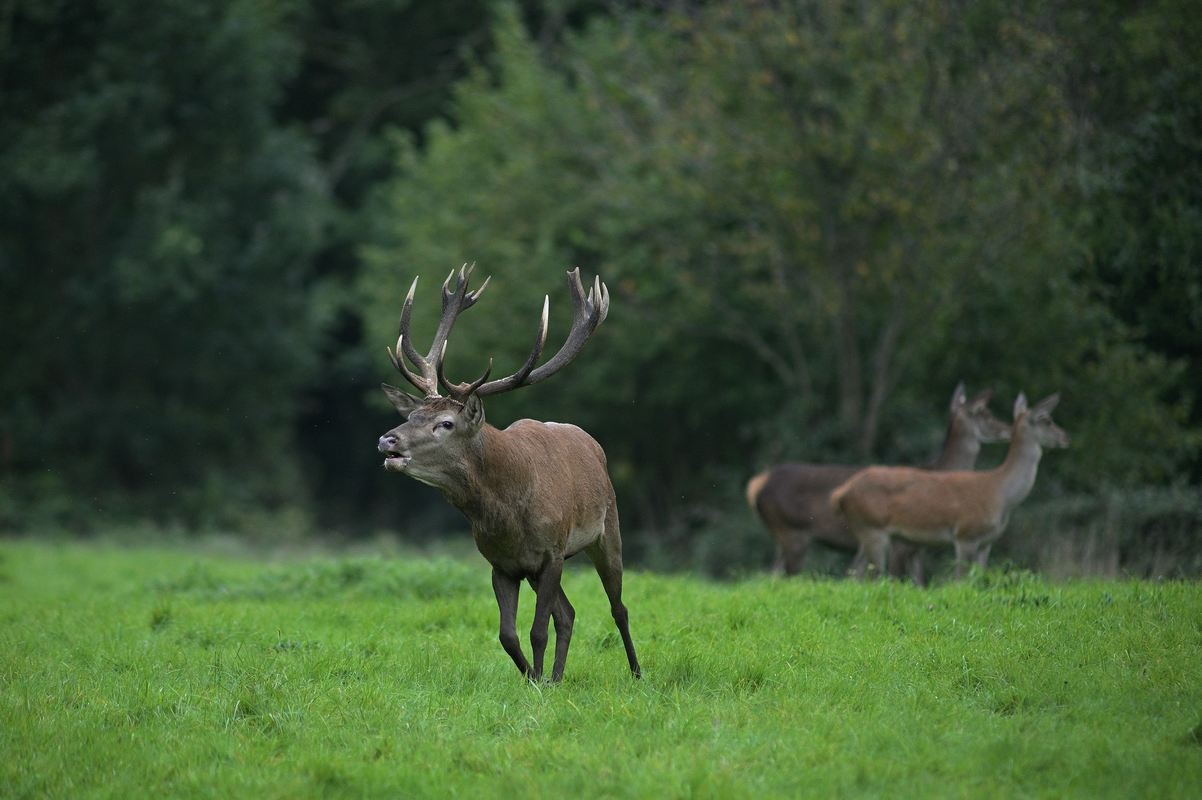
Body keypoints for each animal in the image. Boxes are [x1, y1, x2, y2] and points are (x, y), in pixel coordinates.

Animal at [375, 261, 639, 677]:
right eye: (413, 415)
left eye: (446, 423)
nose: (388, 441)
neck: (508, 514)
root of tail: (593, 445)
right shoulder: (503, 564)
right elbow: (508, 635)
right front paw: (534, 677)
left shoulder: (551, 553)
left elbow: (537, 631)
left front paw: (538, 680)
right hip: (544, 567)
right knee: (568, 614)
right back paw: (558, 678)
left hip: (606, 530)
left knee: (618, 607)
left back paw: (636, 671)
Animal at [745, 384, 1009, 583]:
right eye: (985, 413)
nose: (1008, 430)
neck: (939, 469)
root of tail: (756, 484)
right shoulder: (903, 543)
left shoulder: (917, 547)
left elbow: (917, 582)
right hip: (793, 533)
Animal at [836, 391, 1072, 574]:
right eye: (1047, 420)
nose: (1066, 437)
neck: (1001, 494)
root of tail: (841, 493)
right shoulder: (966, 534)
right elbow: (960, 580)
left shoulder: (986, 542)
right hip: (873, 530)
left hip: (869, 534)